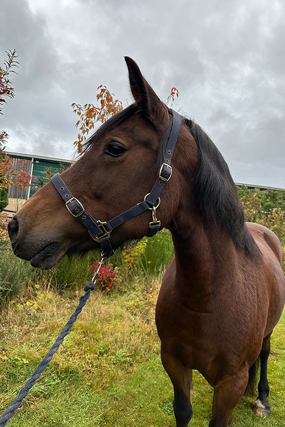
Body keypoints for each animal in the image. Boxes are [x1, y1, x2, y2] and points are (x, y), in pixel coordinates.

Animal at [7, 57, 282, 427]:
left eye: (115, 148)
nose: (15, 226)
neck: (209, 298)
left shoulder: (230, 384)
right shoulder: (175, 364)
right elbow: (183, 411)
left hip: (268, 334)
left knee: (265, 355)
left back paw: (262, 398)